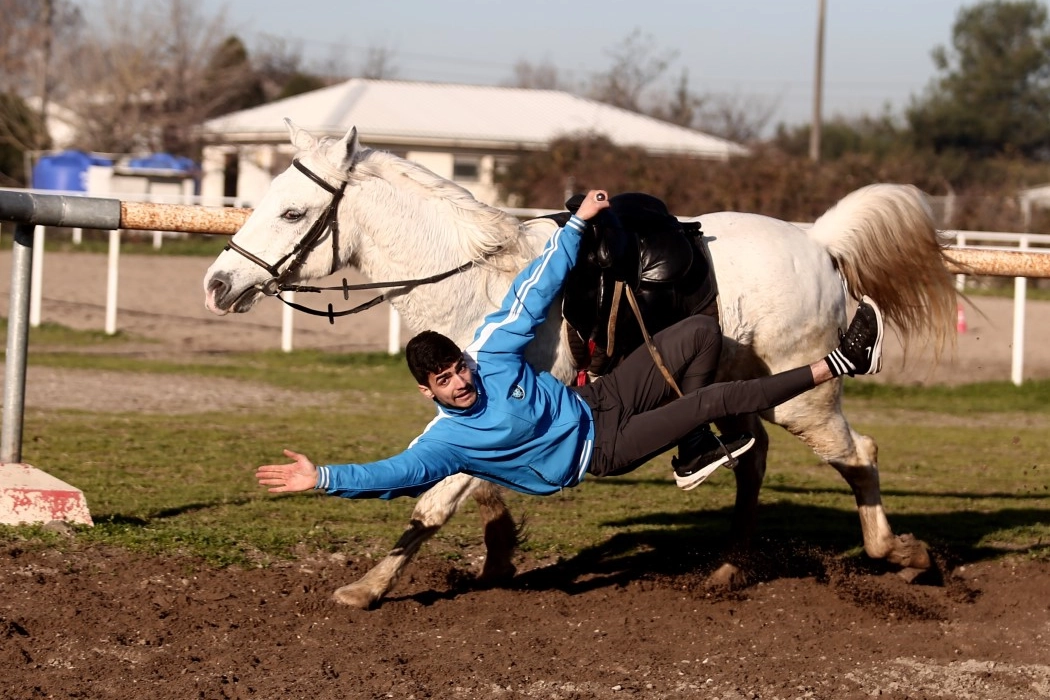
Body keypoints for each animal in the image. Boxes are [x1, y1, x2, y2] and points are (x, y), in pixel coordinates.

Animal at [204, 120, 961, 608]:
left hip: (800, 399)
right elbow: (475, 487)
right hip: (742, 389)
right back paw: (728, 567)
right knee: (752, 459)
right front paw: (499, 554)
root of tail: (819, 243)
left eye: (292, 211)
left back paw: (904, 555)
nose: (217, 283)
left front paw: (368, 588)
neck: (479, 276)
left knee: (858, 454)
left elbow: (433, 502)